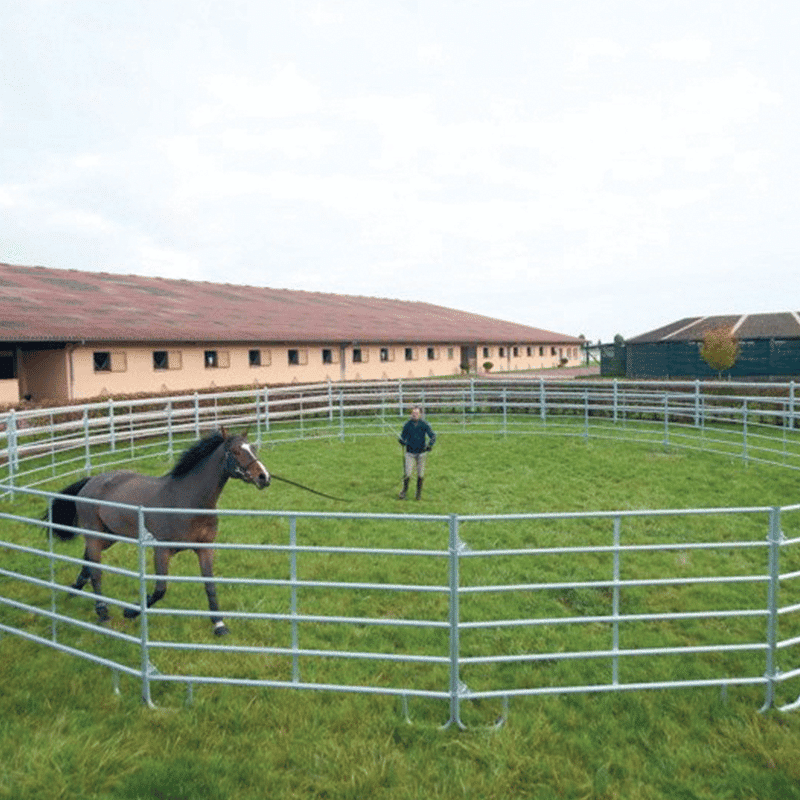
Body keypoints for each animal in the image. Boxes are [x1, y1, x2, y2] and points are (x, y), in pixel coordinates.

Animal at [45, 428, 269, 636]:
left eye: (253, 448)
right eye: (235, 451)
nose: (264, 477)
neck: (186, 501)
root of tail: (91, 481)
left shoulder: (205, 549)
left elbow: (210, 586)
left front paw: (219, 625)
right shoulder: (161, 551)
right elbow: (160, 590)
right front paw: (131, 611)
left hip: (109, 536)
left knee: (88, 561)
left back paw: (74, 590)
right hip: (95, 535)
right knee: (96, 571)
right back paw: (102, 613)